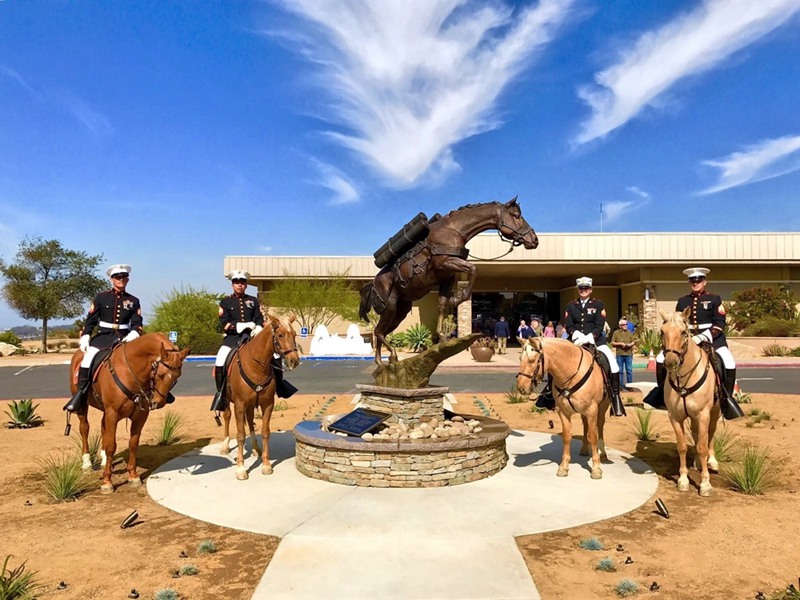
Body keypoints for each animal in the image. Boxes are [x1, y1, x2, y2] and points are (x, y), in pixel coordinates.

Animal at [67, 332, 189, 492]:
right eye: (161, 374)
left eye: (177, 377)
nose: (159, 402)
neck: (130, 372)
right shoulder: (112, 413)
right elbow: (112, 445)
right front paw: (107, 481)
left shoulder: (140, 416)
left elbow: (133, 443)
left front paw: (133, 476)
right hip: (83, 407)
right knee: (84, 428)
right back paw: (87, 462)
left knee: (103, 428)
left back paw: (104, 459)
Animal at [219, 314, 300, 478]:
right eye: (280, 335)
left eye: (294, 334)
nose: (294, 360)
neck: (256, 366)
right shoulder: (239, 405)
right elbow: (240, 435)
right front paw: (241, 468)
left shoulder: (267, 404)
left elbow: (265, 432)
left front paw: (266, 464)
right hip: (226, 400)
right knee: (227, 416)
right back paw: (225, 445)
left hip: (251, 405)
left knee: (250, 421)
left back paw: (256, 448)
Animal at [360, 199, 536, 364]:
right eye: (516, 215)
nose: (534, 240)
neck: (453, 230)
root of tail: (373, 284)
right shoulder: (446, 263)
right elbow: (474, 269)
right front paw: (457, 299)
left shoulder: (447, 276)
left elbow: (442, 304)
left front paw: (442, 334)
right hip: (390, 307)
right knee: (378, 332)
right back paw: (392, 355)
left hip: (400, 311)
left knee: (381, 332)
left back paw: (382, 361)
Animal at [516, 338, 608, 478]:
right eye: (520, 358)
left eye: (532, 360)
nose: (521, 388)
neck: (571, 374)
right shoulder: (563, 412)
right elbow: (566, 436)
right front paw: (564, 466)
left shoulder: (592, 410)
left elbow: (593, 436)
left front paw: (596, 469)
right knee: (585, 424)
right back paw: (584, 449)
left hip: (602, 406)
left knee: (600, 425)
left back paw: (602, 453)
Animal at [660, 310, 720, 496]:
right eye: (662, 332)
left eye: (683, 332)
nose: (670, 362)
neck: (685, 379)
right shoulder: (675, 416)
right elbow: (682, 446)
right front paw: (683, 480)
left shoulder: (703, 414)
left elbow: (702, 446)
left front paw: (705, 483)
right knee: (696, 434)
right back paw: (697, 462)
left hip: (714, 412)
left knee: (710, 434)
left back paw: (711, 461)